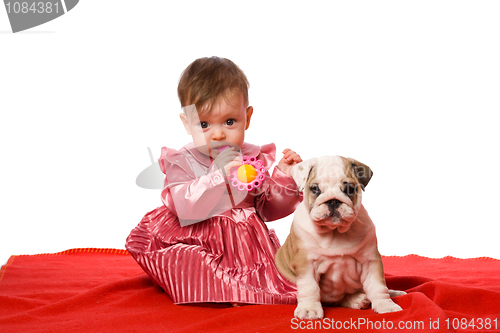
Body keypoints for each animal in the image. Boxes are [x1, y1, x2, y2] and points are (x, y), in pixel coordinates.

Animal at [276, 156, 404, 320]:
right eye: (315, 189)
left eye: (349, 189)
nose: (333, 201)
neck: (334, 231)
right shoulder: (306, 263)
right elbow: (309, 287)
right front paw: (309, 309)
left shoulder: (370, 261)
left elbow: (378, 286)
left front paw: (385, 305)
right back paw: (358, 299)